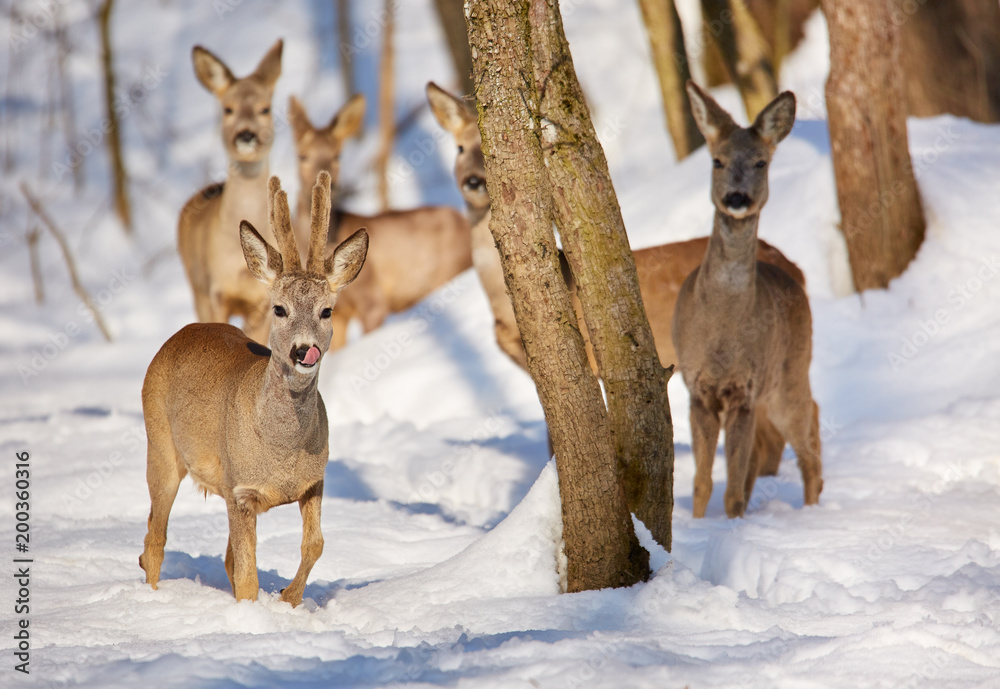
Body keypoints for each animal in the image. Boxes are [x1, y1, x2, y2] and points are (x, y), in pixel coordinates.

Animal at [140, 171, 369, 605]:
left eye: (326, 311)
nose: (304, 350)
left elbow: (314, 544)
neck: (281, 452)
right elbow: (247, 575)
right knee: (155, 538)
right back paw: (152, 597)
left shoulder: (313, 481)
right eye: (279, 308)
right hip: (159, 442)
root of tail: (180, 334)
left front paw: (287, 598)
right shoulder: (241, 489)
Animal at [177, 39, 283, 345]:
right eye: (228, 109)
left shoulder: (262, 301)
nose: (246, 135)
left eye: (265, 108)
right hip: (195, 284)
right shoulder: (216, 291)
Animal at [672, 81, 823, 519]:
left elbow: (733, 491)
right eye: (717, 161)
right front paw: (700, 524)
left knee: (809, 440)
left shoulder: (746, 389)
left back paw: (813, 516)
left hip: (790, 372)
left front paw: (729, 524)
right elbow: (703, 482)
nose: (736, 198)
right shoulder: (697, 388)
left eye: (761, 162)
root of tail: (795, 278)